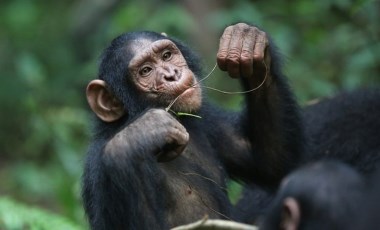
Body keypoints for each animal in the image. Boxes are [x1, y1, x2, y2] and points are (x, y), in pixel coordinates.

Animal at [82, 22, 302, 229]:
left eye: (167, 55)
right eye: (145, 71)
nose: (172, 74)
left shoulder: (208, 118)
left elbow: (271, 163)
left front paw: (246, 41)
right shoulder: (99, 170)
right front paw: (139, 135)